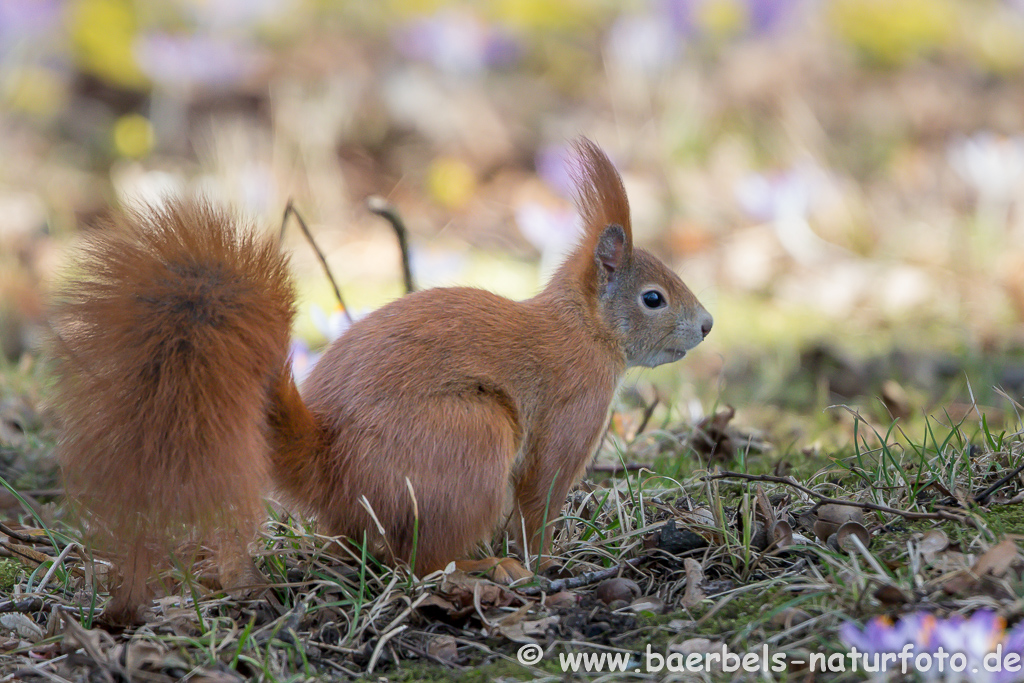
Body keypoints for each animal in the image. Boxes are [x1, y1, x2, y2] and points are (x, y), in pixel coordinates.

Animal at [49, 136, 712, 622]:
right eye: (653, 298)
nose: (707, 325)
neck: (584, 330)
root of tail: (328, 463)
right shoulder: (571, 416)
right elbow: (538, 501)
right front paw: (546, 562)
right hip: (471, 435)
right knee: (425, 564)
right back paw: (487, 572)